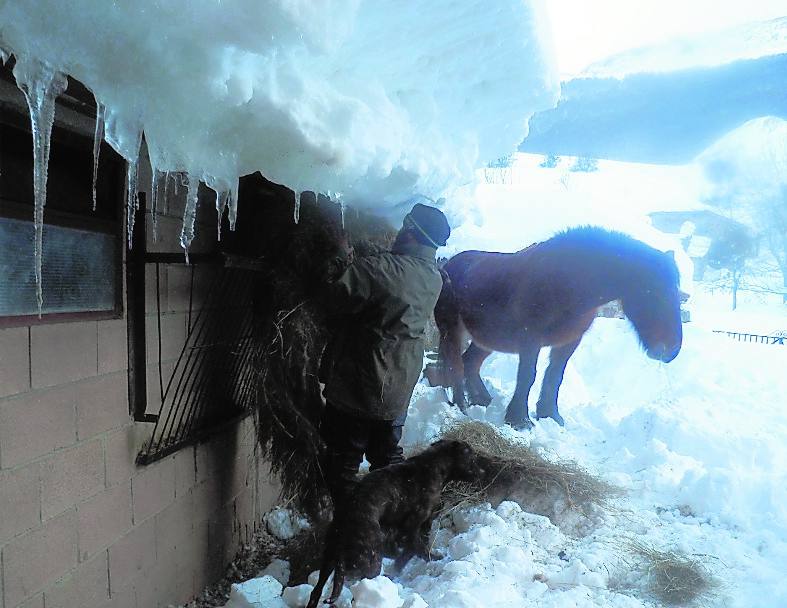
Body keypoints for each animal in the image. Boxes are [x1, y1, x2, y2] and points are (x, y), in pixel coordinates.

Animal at [434, 226, 688, 430]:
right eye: (653, 293)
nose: (671, 350)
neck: (566, 283)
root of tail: (448, 265)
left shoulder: (569, 342)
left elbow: (555, 376)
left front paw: (549, 414)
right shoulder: (530, 340)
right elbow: (528, 376)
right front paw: (520, 420)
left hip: (487, 339)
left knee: (470, 363)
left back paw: (482, 400)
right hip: (452, 333)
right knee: (456, 365)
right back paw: (462, 404)